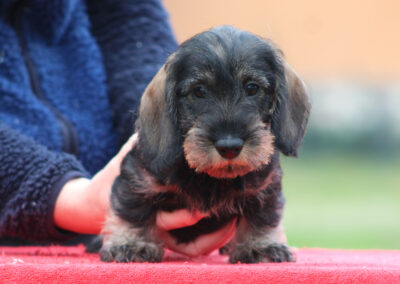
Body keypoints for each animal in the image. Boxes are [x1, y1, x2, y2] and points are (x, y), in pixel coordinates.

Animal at [98, 25, 310, 262]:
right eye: (198, 91)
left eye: (252, 88)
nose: (229, 146)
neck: (212, 178)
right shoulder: (137, 178)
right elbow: (132, 209)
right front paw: (131, 243)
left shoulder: (265, 186)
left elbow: (262, 215)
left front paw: (260, 245)